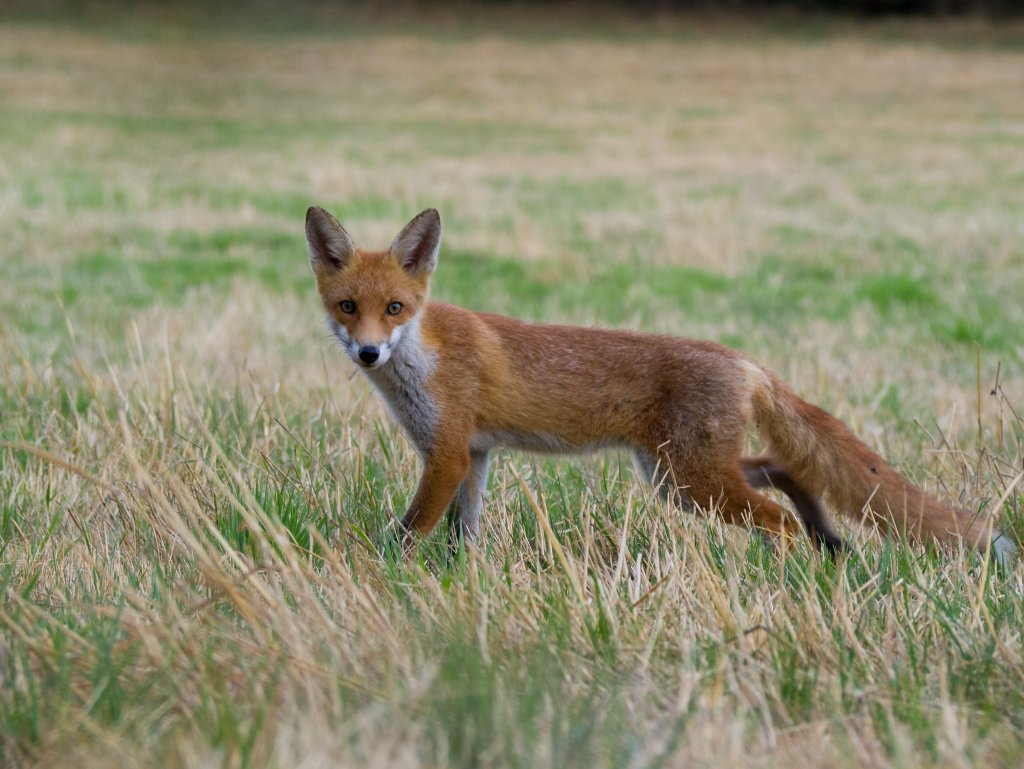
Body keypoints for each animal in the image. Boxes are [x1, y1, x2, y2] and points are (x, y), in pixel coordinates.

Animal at [305, 205, 1015, 563]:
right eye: (348, 307)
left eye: (395, 308)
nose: (368, 351)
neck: (420, 357)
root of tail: (742, 359)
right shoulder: (474, 455)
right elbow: (463, 533)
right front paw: (460, 584)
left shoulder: (449, 452)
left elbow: (409, 532)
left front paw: (380, 573)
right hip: (679, 477)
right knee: (788, 469)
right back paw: (828, 541)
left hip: (693, 481)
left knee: (780, 517)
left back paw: (797, 573)